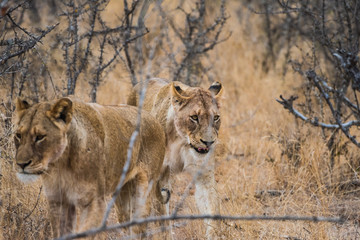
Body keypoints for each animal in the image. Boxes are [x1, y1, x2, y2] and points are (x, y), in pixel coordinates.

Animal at [12, 97, 167, 238]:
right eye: (18, 135)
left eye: (40, 137)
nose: (21, 164)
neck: (60, 164)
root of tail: (154, 119)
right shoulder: (58, 201)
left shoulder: (94, 202)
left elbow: (85, 233)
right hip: (123, 201)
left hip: (142, 196)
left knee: (139, 229)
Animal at [126, 78, 224, 237]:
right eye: (194, 117)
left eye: (215, 118)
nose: (208, 142)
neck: (182, 139)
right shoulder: (160, 178)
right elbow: (162, 220)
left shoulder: (204, 174)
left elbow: (212, 209)